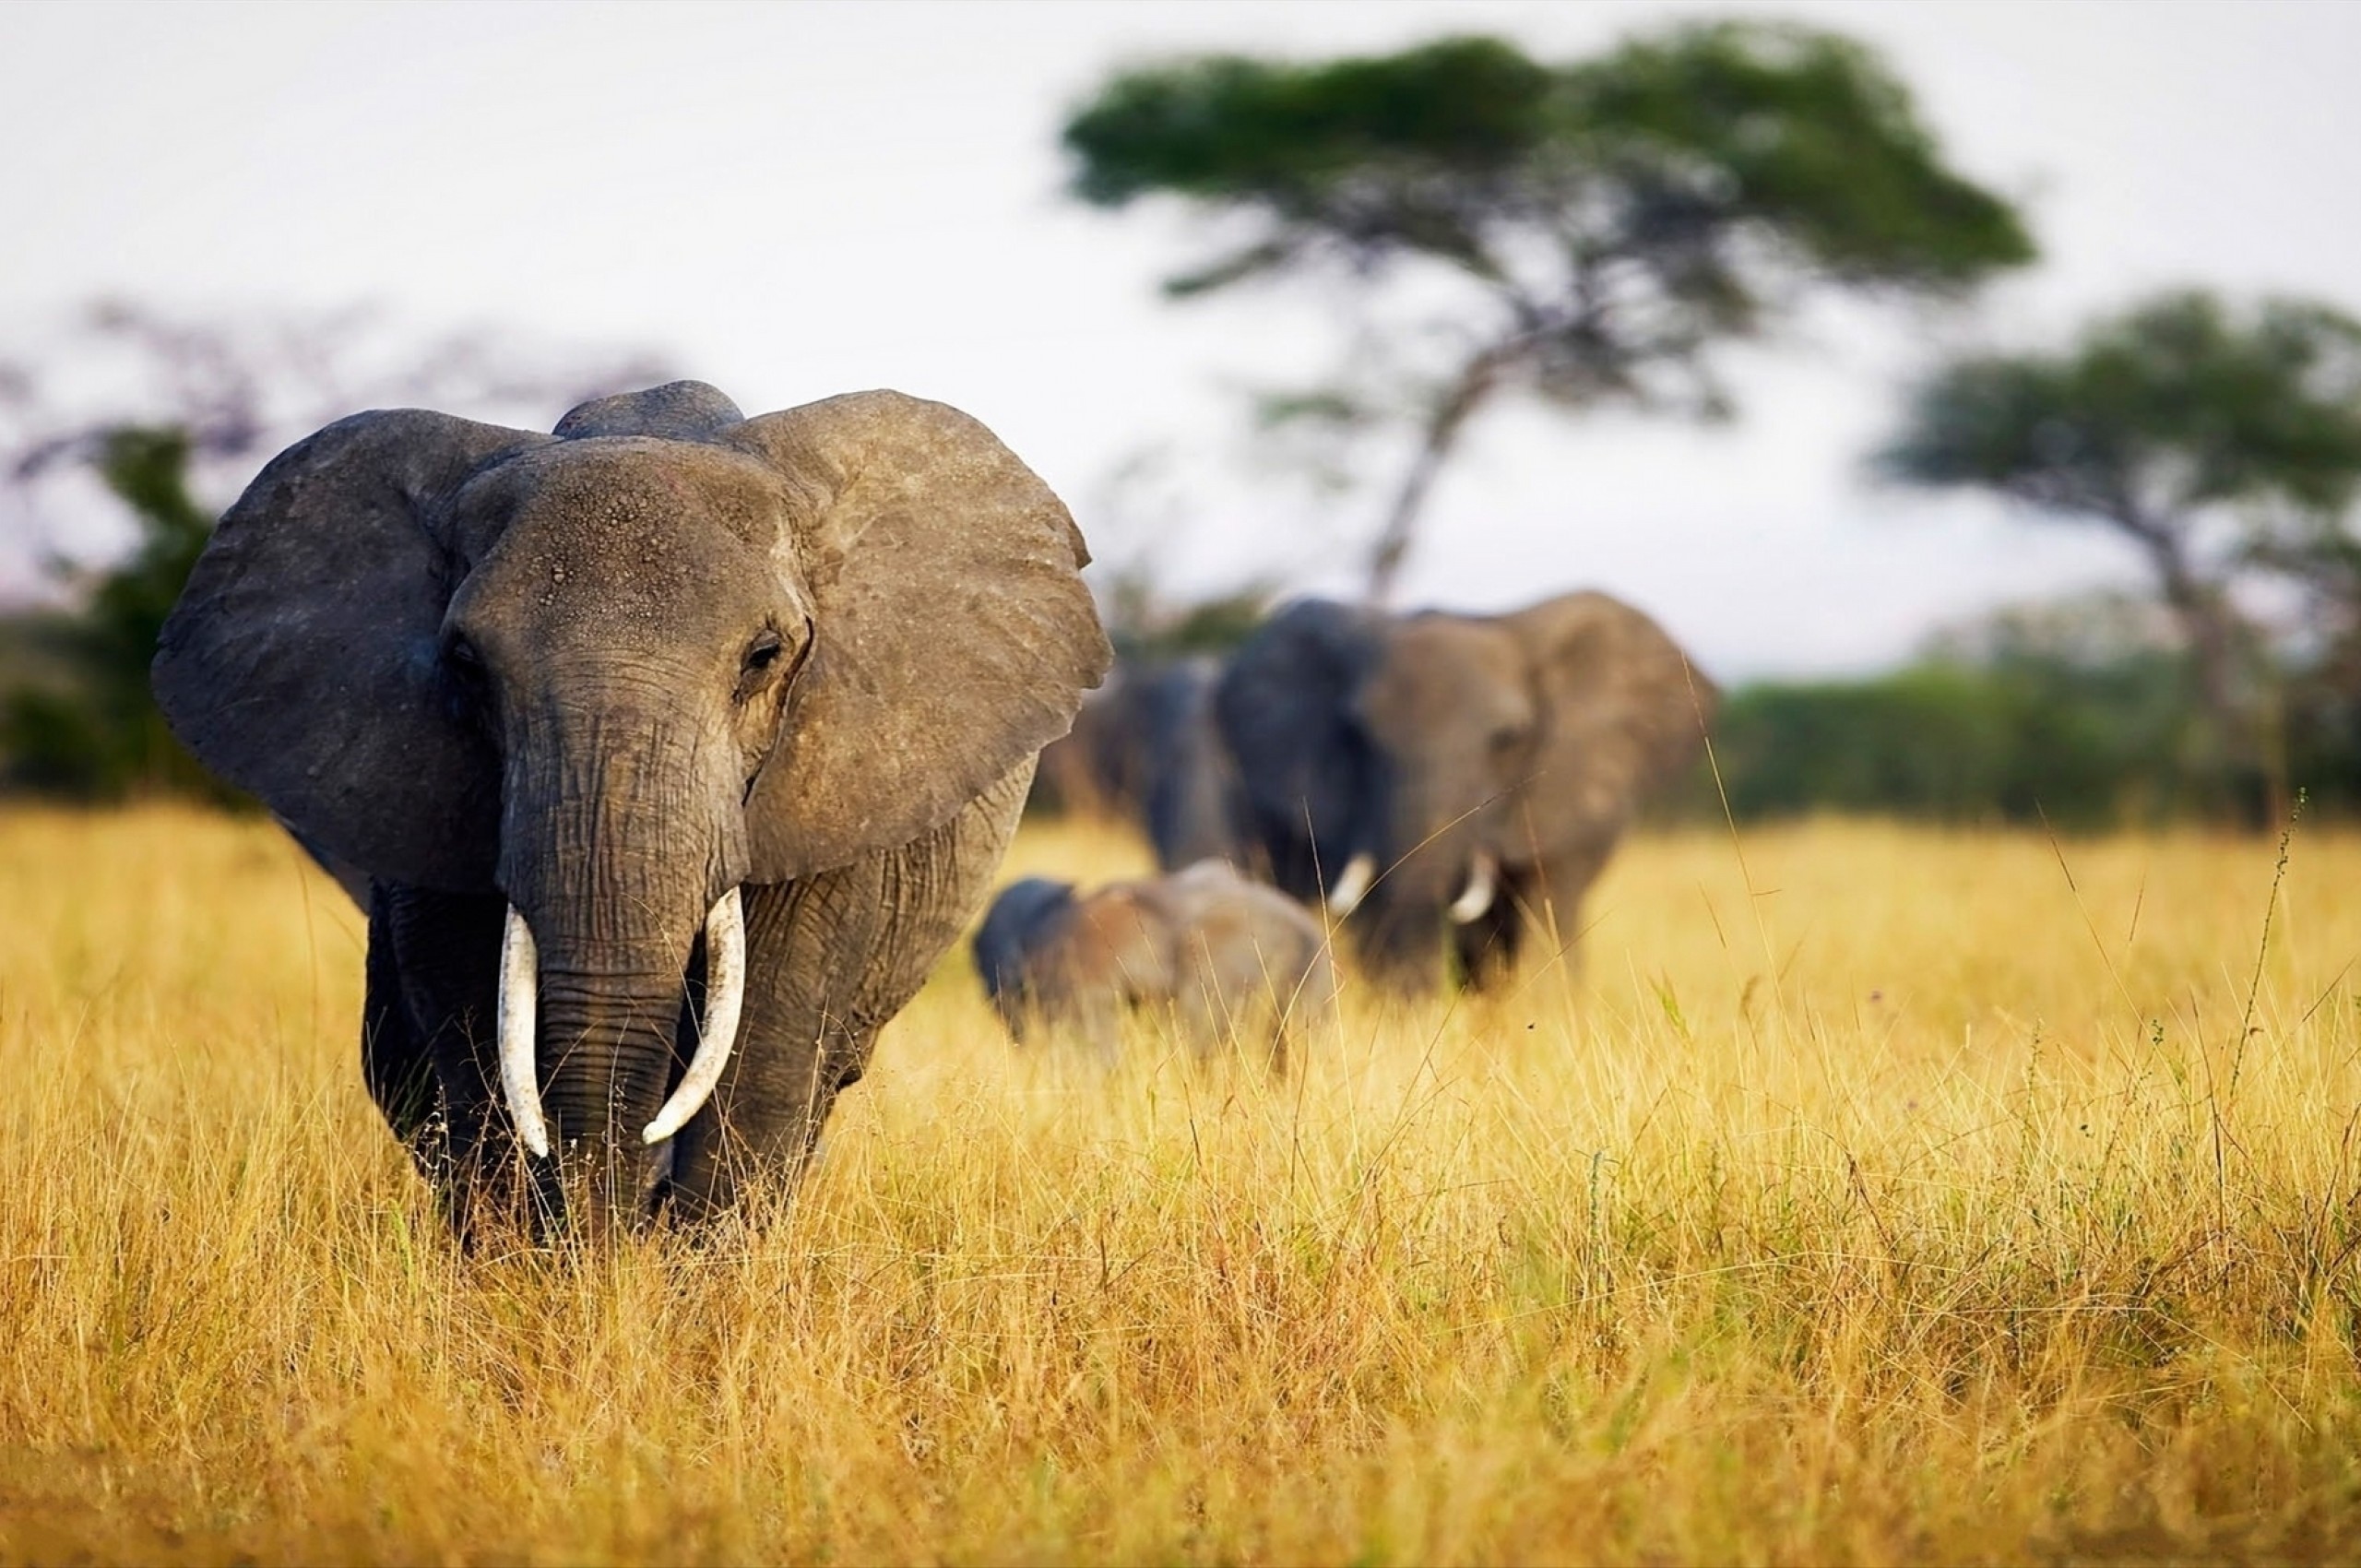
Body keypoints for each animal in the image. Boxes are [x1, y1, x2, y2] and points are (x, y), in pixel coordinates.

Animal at [152, 380, 1109, 1237]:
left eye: (764, 656)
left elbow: (765, 1051)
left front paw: (686, 1295)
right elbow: (470, 1028)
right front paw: (534, 1281)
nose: (613, 1237)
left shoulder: (839, 781)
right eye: (465, 664)